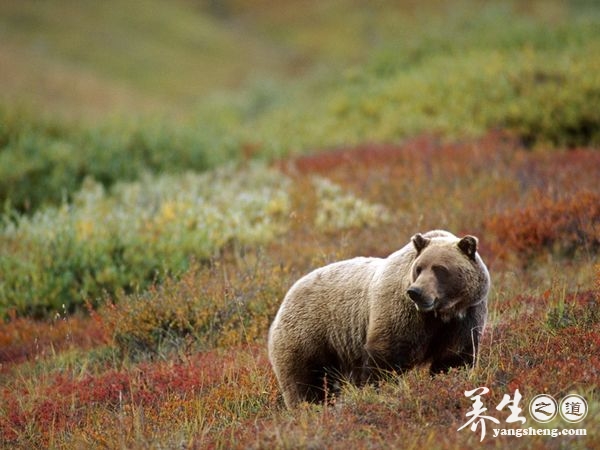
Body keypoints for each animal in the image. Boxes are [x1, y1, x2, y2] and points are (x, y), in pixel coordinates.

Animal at [270, 230, 490, 410]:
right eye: (419, 268)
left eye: (440, 269)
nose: (416, 292)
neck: (440, 313)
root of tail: (286, 297)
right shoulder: (402, 314)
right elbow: (386, 358)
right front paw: (379, 391)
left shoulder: (464, 318)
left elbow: (454, 359)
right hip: (310, 335)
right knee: (306, 382)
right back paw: (309, 408)